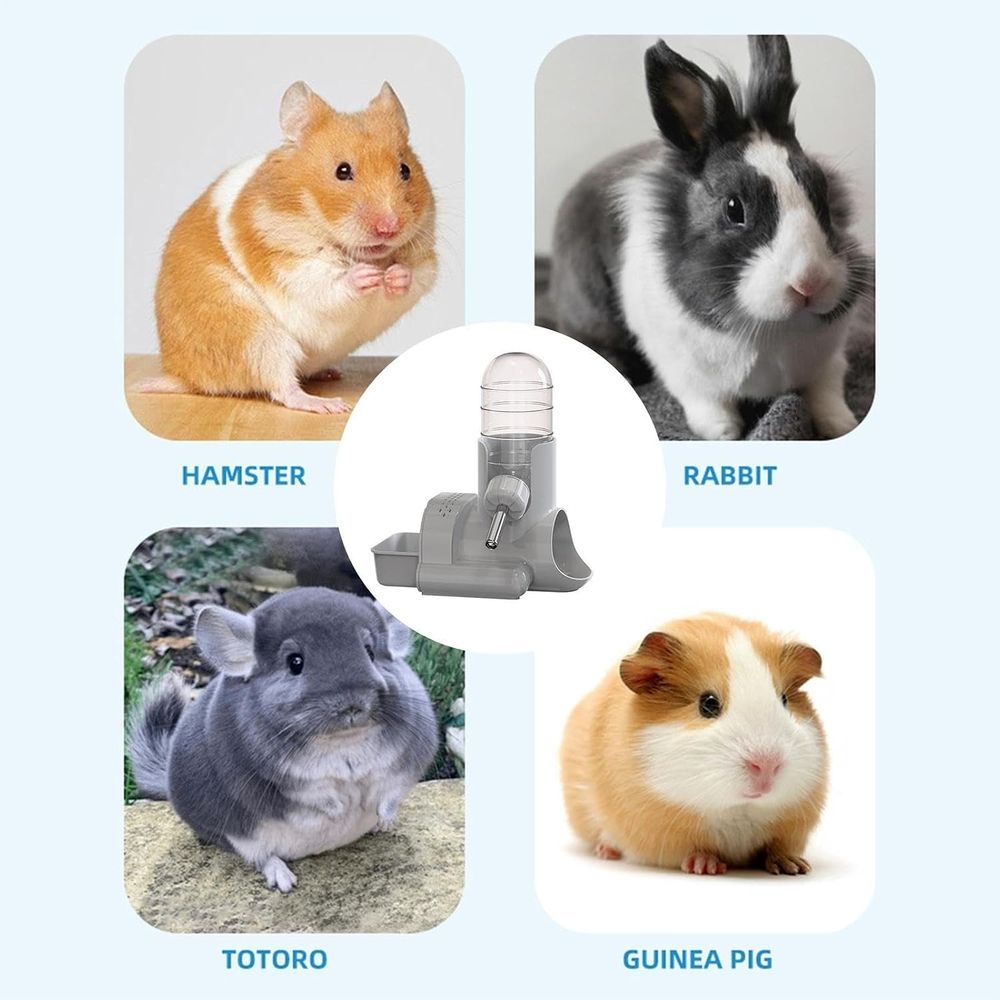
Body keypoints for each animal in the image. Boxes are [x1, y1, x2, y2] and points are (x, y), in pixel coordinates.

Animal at [128, 588, 438, 892]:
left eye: (370, 652)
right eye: (295, 662)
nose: (352, 705)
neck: (342, 740)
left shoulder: (407, 762)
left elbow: (390, 791)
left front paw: (382, 814)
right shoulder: (281, 780)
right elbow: (315, 797)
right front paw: (340, 810)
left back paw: (379, 826)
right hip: (236, 835)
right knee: (260, 857)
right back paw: (283, 879)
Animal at [149, 81, 437, 413]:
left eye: (405, 170)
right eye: (342, 171)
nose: (389, 227)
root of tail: (183, 375)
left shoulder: (426, 263)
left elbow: (414, 276)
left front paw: (394, 275)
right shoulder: (288, 266)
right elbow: (327, 283)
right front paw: (365, 276)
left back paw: (329, 374)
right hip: (255, 338)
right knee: (282, 387)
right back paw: (328, 406)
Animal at [548, 36, 872, 440]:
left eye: (823, 192)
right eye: (734, 208)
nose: (809, 283)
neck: (772, 328)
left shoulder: (829, 358)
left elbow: (827, 392)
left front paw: (841, 424)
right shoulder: (685, 374)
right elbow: (711, 408)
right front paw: (724, 433)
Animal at [560, 613, 827, 875]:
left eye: (784, 699)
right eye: (708, 703)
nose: (767, 765)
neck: (738, 810)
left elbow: (776, 848)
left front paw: (795, 867)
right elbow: (695, 850)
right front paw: (707, 867)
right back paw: (606, 851)